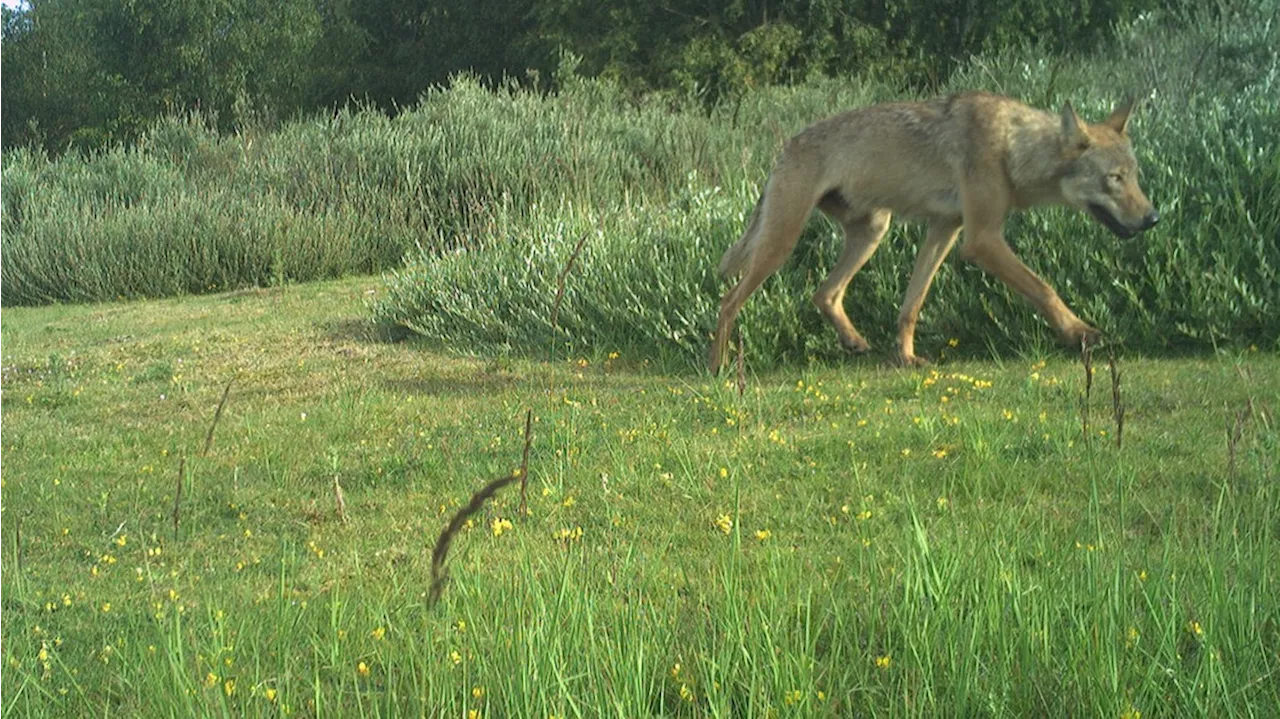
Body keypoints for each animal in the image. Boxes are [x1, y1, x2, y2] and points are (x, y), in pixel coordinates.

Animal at [711, 92, 1162, 371]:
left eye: (1135, 176)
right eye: (1114, 178)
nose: (1153, 219)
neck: (1012, 147)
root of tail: (784, 148)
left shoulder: (945, 229)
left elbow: (911, 304)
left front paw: (906, 359)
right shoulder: (981, 240)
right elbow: (1044, 288)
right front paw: (1080, 333)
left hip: (873, 231)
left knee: (824, 293)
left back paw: (854, 342)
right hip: (781, 244)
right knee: (728, 301)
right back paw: (718, 368)